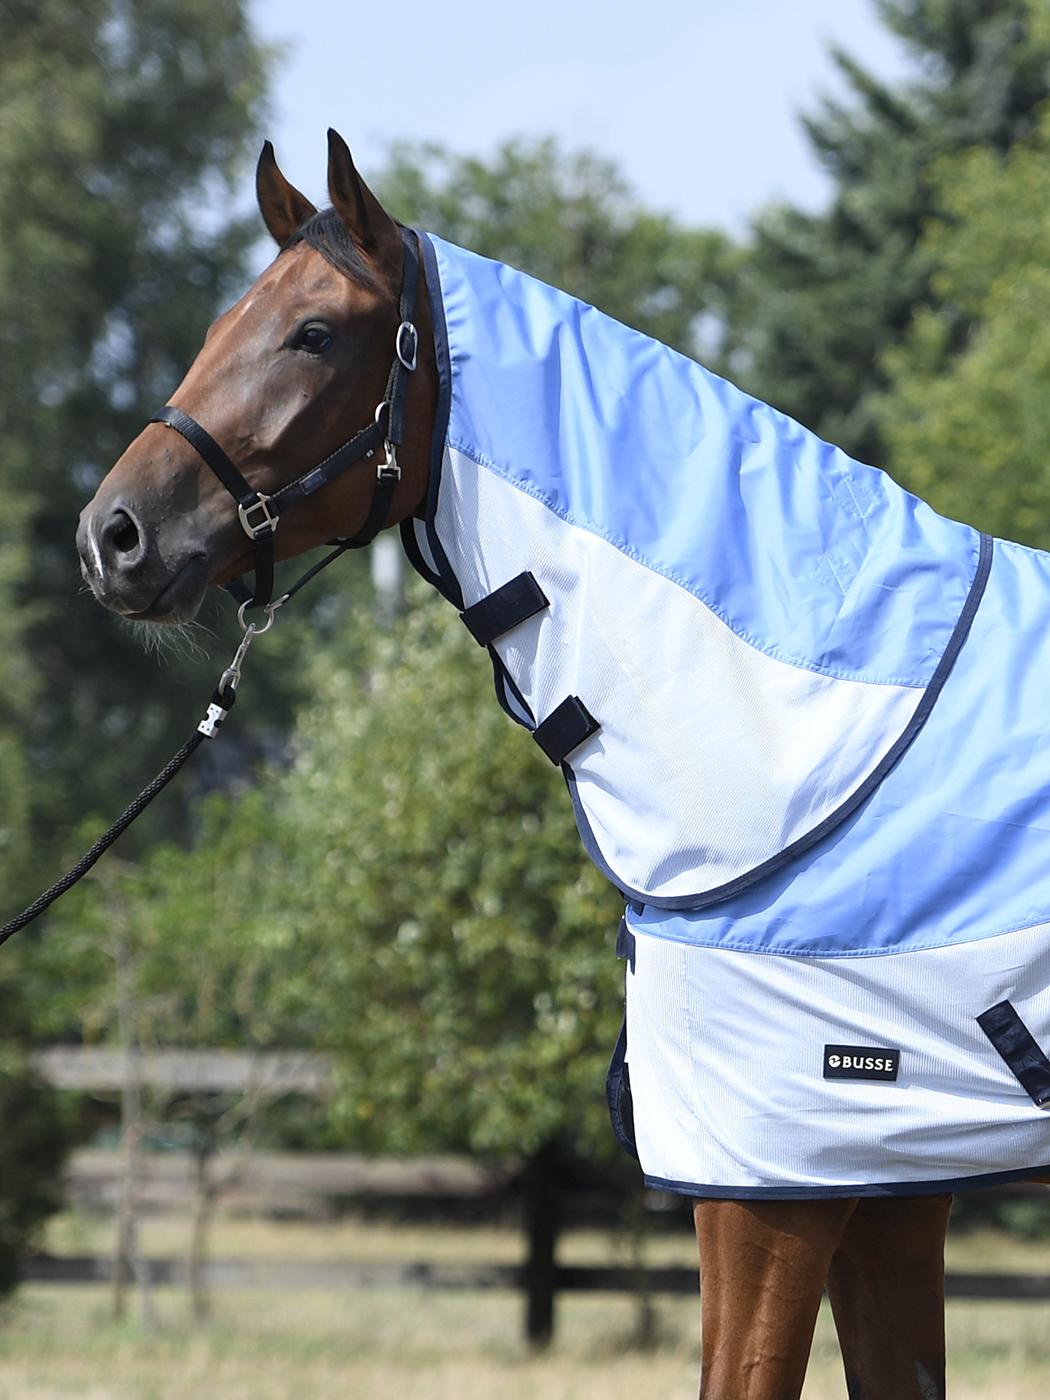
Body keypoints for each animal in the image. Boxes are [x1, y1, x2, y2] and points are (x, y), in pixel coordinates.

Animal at [76, 130, 1050, 1399]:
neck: (817, 744)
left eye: (315, 332)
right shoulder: (879, 1185)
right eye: (217, 324)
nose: (112, 534)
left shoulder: (777, 1185)